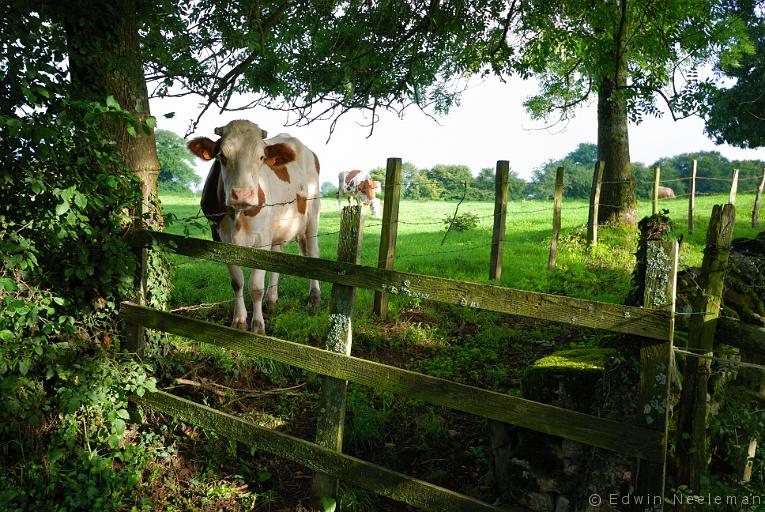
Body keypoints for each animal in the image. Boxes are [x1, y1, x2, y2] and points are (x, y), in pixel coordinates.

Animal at [192, 120, 324, 336]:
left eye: (261, 157)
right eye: (221, 156)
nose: (242, 194)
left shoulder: (261, 240)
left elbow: (255, 287)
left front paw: (257, 326)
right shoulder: (221, 239)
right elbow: (237, 282)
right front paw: (239, 321)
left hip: (313, 214)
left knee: (312, 253)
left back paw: (314, 298)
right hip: (279, 228)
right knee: (277, 256)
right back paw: (271, 300)